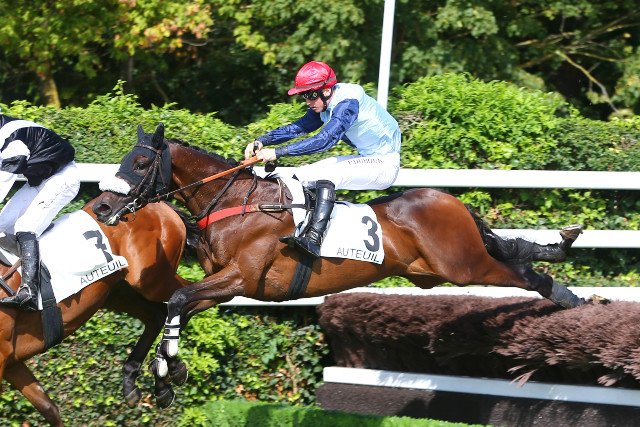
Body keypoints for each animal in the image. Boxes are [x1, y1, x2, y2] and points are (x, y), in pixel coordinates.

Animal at [0, 199, 195, 426]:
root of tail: (162, 204)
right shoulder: (12, 362)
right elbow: (49, 408)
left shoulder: (3, 358)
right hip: (118, 292)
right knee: (157, 315)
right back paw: (147, 381)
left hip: (153, 280)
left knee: (188, 297)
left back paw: (169, 361)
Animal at [91, 123, 598, 382]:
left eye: (140, 163)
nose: (101, 207)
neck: (238, 201)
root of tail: (449, 200)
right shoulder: (223, 288)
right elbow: (176, 306)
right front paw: (152, 370)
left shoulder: (241, 277)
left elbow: (176, 299)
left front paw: (166, 366)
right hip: (435, 271)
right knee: (513, 254)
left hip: (463, 265)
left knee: (521, 273)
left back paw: (571, 298)